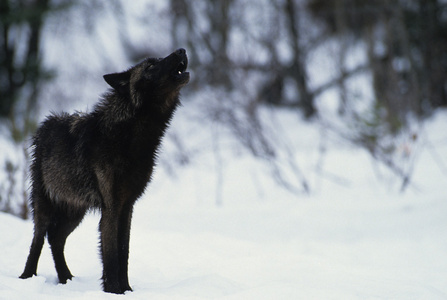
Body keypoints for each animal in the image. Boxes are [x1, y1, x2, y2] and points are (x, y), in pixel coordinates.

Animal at [19, 48, 190, 292]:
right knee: (39, 239)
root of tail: (45, 124)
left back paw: (65, 278)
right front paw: (113, 290)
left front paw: (127, 290)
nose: (182, 50)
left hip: (75, 211)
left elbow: (124, 252)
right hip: (44, 207)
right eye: (150, 66)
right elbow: (110, 255)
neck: (130, 139)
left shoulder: (127, 206)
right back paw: (27, 277)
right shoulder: (111, 206)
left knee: (56, 238)